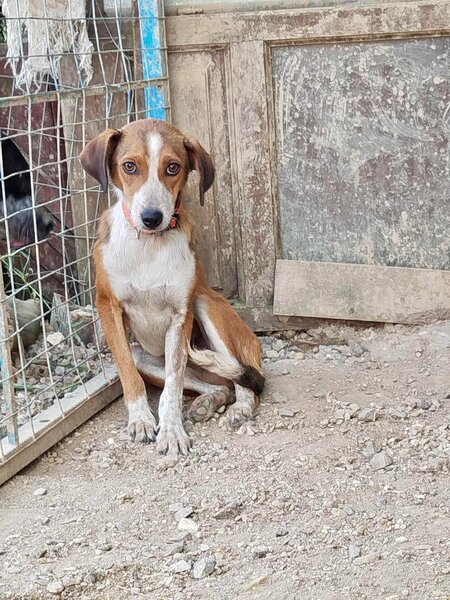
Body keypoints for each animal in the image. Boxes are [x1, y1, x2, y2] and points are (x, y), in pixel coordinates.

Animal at [80, 119, 264, 457]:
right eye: (129, 166)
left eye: (173, 167)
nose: (151, 218)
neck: (148, 245)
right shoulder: (108, 306)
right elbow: (130, 375)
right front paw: (141, 420)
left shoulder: (181, 315)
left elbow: (173, 385)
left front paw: (171, 431)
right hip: (147, 355)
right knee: (221, 385)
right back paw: (207, 402)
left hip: (205, 304)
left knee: (245, 383)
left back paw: (239, 408)